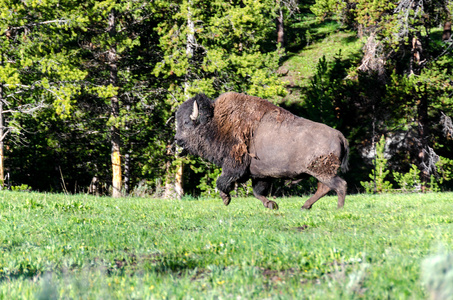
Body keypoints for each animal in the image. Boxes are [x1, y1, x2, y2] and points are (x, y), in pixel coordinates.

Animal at [175, 92, 348, 210]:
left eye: (186, 122)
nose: (177, 139)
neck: (216, 122)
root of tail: (339, 135)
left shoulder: (233, 167)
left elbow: (222, 182)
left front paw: (226, 199)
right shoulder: (261, 175)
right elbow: (258, 192)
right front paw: (272, 205)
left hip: (322, 171)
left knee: (339, 185)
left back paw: (338, 208)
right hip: (320, 172)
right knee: (325, 187)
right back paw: (305, 206)